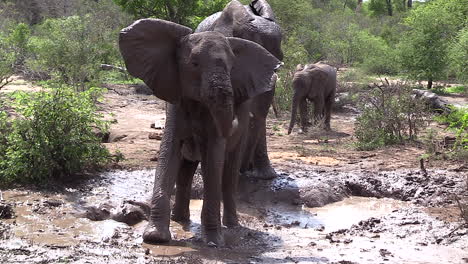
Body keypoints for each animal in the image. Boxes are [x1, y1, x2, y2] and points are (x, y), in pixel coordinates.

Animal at [119, 19, 280, 246]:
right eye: (194, 64)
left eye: (232, 67)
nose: (237, 114)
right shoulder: (175, 99)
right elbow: (169, 152)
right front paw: (155, 238)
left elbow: (213, 157)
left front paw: (213, 241)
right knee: (186, 171)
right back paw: (180, 219)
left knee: (228, 173)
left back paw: (232, 225)